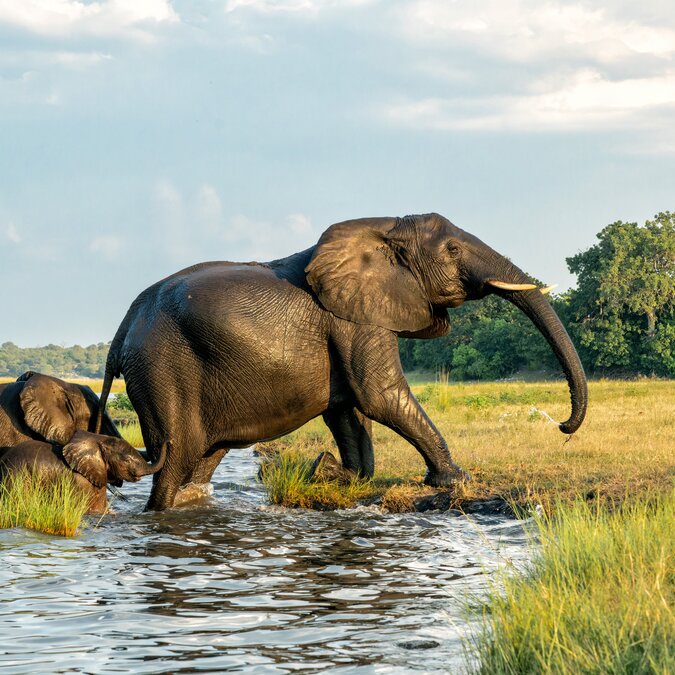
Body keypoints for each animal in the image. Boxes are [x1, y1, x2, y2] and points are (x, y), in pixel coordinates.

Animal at [97, 212, 587, 511]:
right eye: (451, 250)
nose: (563, 427)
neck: (385, 227)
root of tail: (122, 330)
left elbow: (347, 409)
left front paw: (337, 473)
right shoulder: (356, 317)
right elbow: (379, 396)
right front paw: (454, 480)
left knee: (200, 462)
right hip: (161, 369)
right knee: (173, 461)